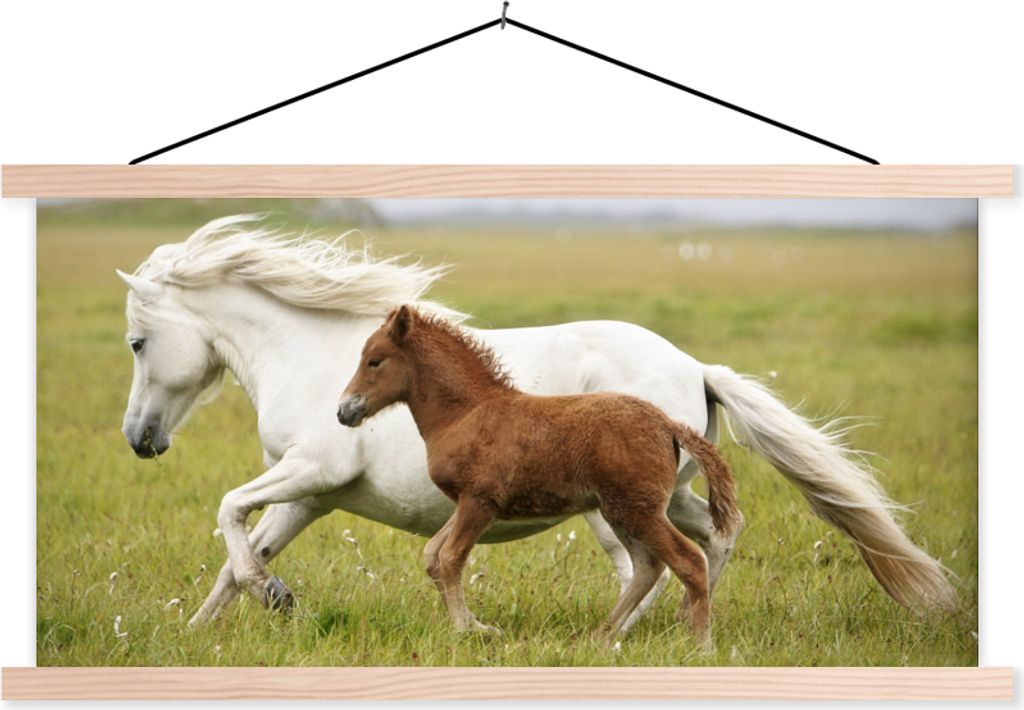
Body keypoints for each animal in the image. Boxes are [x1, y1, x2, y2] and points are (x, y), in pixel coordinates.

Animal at [337, 305, 741, 645]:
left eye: (374, 361)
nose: (344, 411)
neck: (466, 412)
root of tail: (667, 425)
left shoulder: (479, 501)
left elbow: (451, 558)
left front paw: (465, 630)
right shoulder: (467, 503)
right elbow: (432, 554)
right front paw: (476, 626)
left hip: (637, 510)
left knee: (688, 561)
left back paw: (700, 645)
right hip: (620, 510)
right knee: (649, 566)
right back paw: (599, 637)